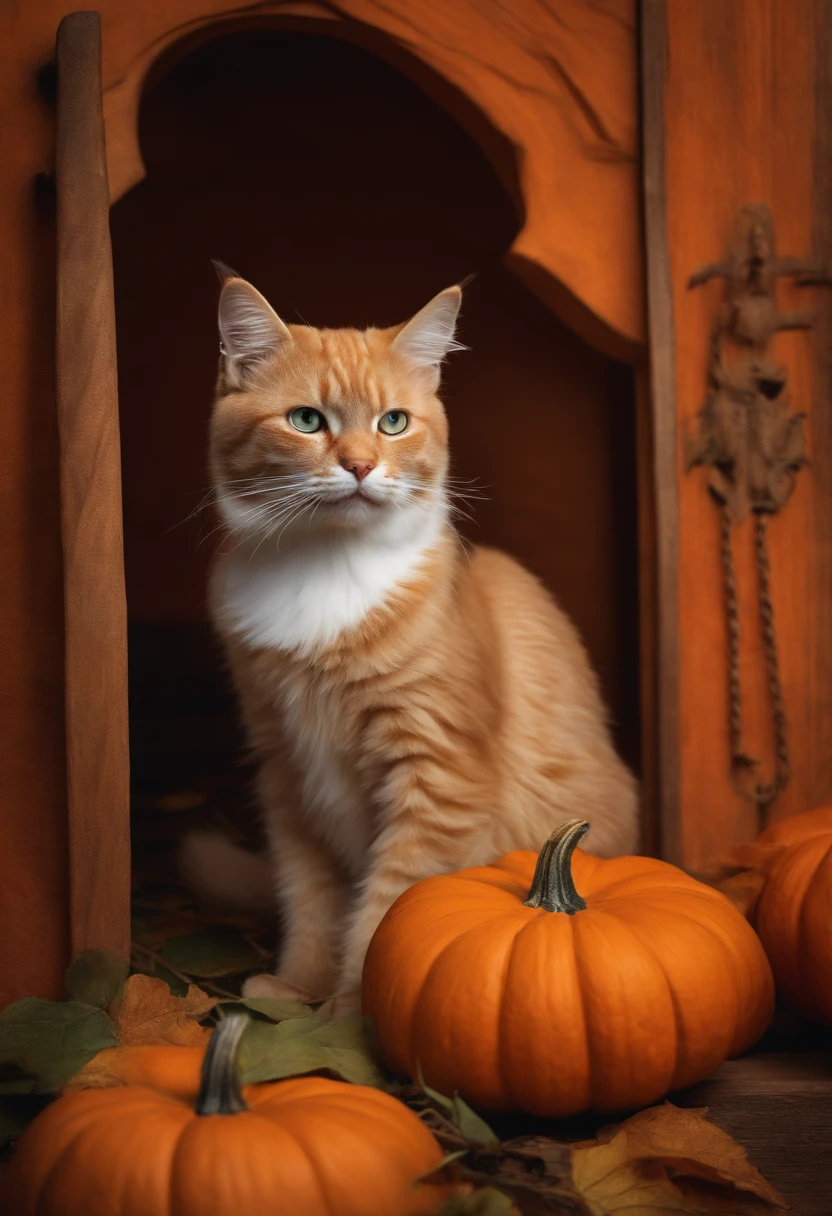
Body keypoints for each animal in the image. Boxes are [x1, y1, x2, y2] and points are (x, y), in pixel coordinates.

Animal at [182, 268, 637, 1016]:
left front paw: (346, 1017)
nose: (361, 466)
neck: (325, 572)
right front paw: (297, 991)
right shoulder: (286, 770)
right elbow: (312, 898)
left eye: (392, 422)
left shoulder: (439, 773)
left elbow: (385, 910)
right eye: (307, 420)